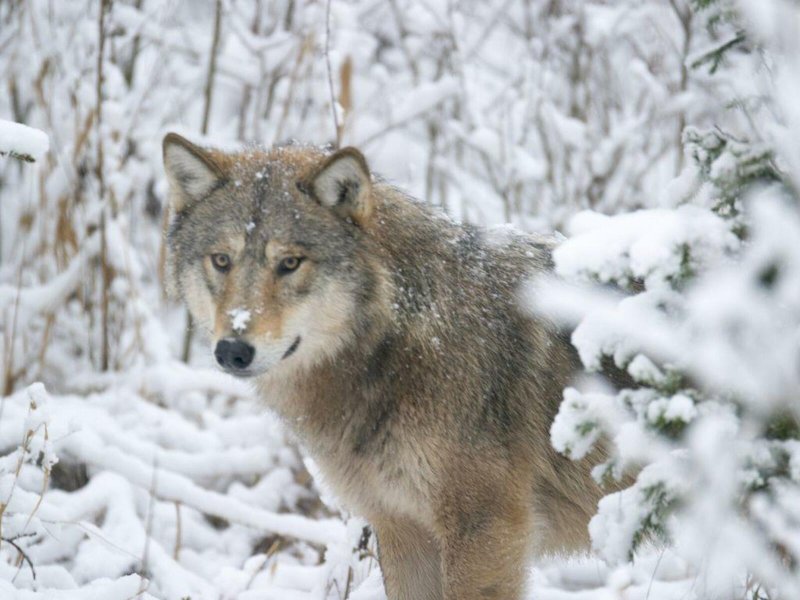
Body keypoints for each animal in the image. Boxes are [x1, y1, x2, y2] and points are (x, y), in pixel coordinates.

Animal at [164, 135, 608, 600]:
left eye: (289, 263)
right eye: (221, 260)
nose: (232, 350)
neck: (396, 346)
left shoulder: (484, 531)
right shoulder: (401, 527)